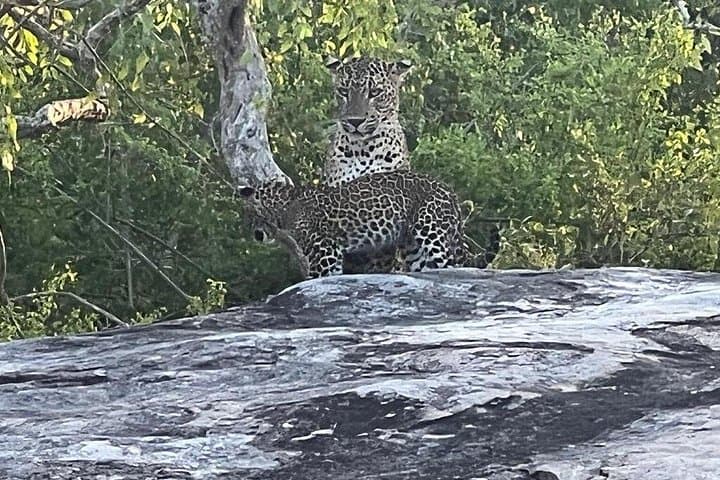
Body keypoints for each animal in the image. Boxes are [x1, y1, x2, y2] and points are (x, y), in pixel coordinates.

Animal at [240, 170, 469, 279]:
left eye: (251, 216)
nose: (256, 235)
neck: (285, 207)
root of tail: (451, 192)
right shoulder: (330, 255)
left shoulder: (324, 251)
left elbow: (315, 277)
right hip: (413, 247)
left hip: (431, 231)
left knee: (451, 265)